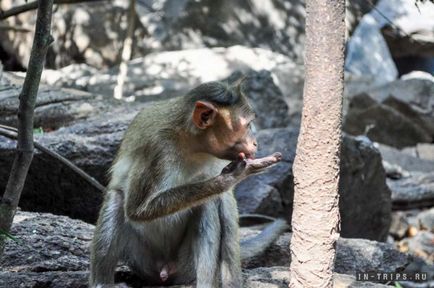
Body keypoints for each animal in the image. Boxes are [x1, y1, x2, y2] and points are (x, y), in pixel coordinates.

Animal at [90, 79, 286, 288]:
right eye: (248, 125)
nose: (255, 142)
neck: (191, 141)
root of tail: (164, 270)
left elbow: (225, 206)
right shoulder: (157, 147)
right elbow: (137, 209)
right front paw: (227, 179)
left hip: (185, 266)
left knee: (207, 205)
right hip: (141, 259)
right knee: (117, 198)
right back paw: (102, 283)